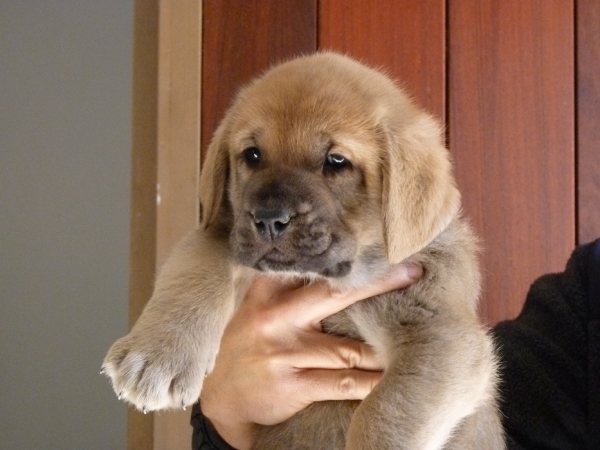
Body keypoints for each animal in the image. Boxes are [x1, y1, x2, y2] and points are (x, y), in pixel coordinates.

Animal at [104, 53, 506, 450]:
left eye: (336, 162)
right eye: (252, 155)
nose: (269, 219)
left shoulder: (439, 334)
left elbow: (383, 415)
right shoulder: (221, 233)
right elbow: (195, 271)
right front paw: (157, 355)